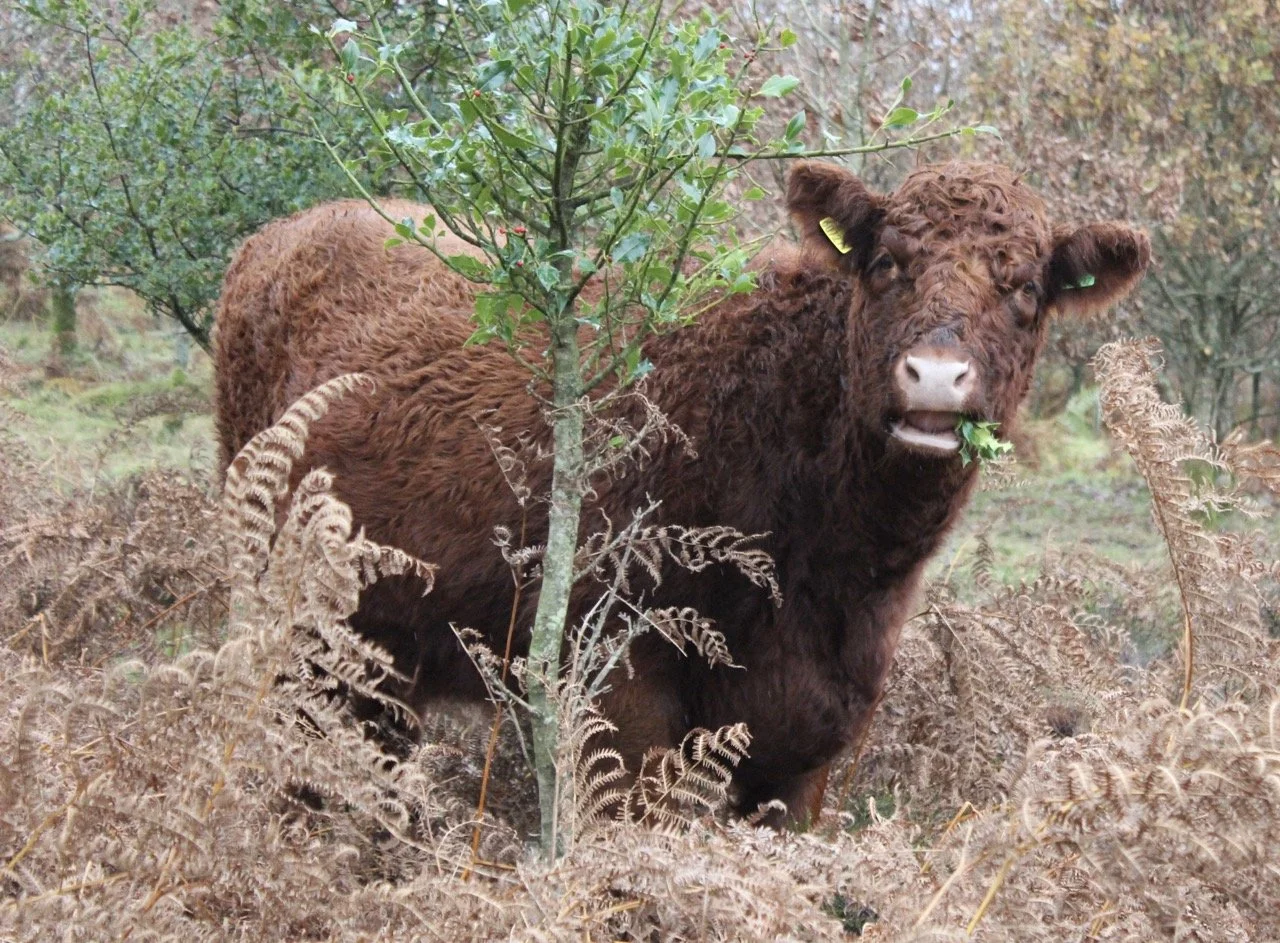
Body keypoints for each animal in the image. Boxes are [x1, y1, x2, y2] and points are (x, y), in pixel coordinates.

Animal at [214, 163, 1150, 824]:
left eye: (1024, 288)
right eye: (887, 263)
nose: (936, 377)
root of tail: (289, 230)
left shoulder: (811, 739)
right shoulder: (620, 685)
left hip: (378, 640)